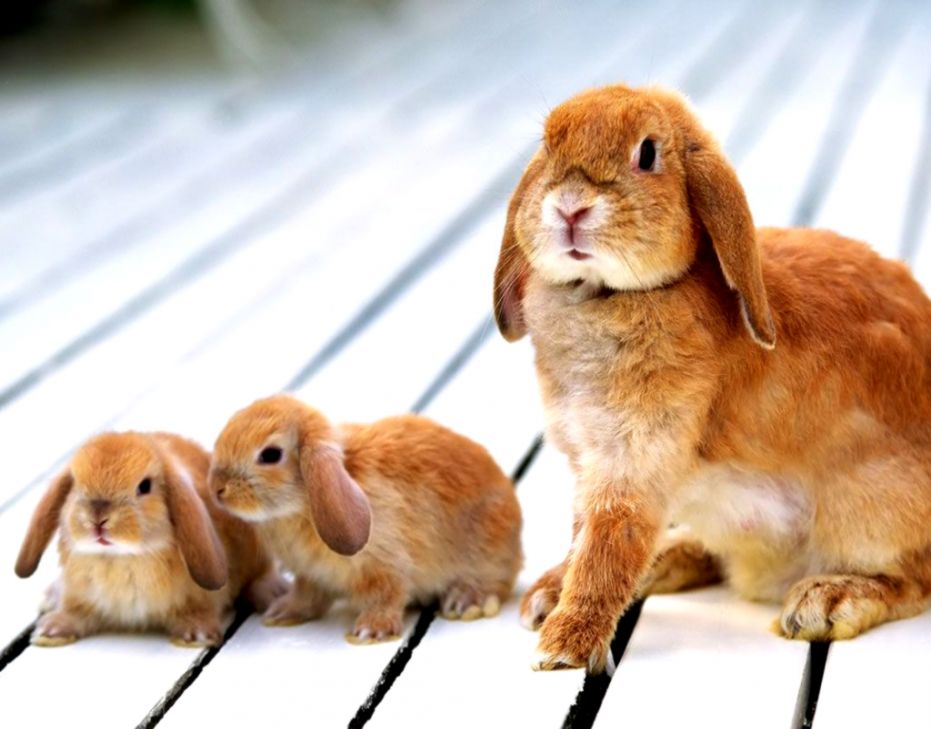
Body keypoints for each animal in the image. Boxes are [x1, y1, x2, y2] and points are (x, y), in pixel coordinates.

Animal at [15, 431, 284, 647]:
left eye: (144, 487)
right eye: (76, 485)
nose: (98, 519)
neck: (122, 558)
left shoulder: (201, 597)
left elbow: (200, 610)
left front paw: (196, 636)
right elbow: (75, 612)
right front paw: (50, 631)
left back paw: (273, 594)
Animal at [208, 394, 523, 643]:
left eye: (270, 455)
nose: (217, 489)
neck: (303, 505)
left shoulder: (384, 565)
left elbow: (386, 594)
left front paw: (370, 632)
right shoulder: (311, 575)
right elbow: (306, 596)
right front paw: (281, 613)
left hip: (486, 551)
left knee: (495, 581)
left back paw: (465, 603)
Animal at [493, 83, 931, 672]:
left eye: (647, 153)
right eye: (548, 143)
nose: (570, 206)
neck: (607, 295)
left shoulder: (633, 463)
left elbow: (607, 548)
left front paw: (563, 646)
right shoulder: (591, 464)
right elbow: (584, 538)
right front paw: (549, 596)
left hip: (869, 510)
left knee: (913, 578)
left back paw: (827, 599)